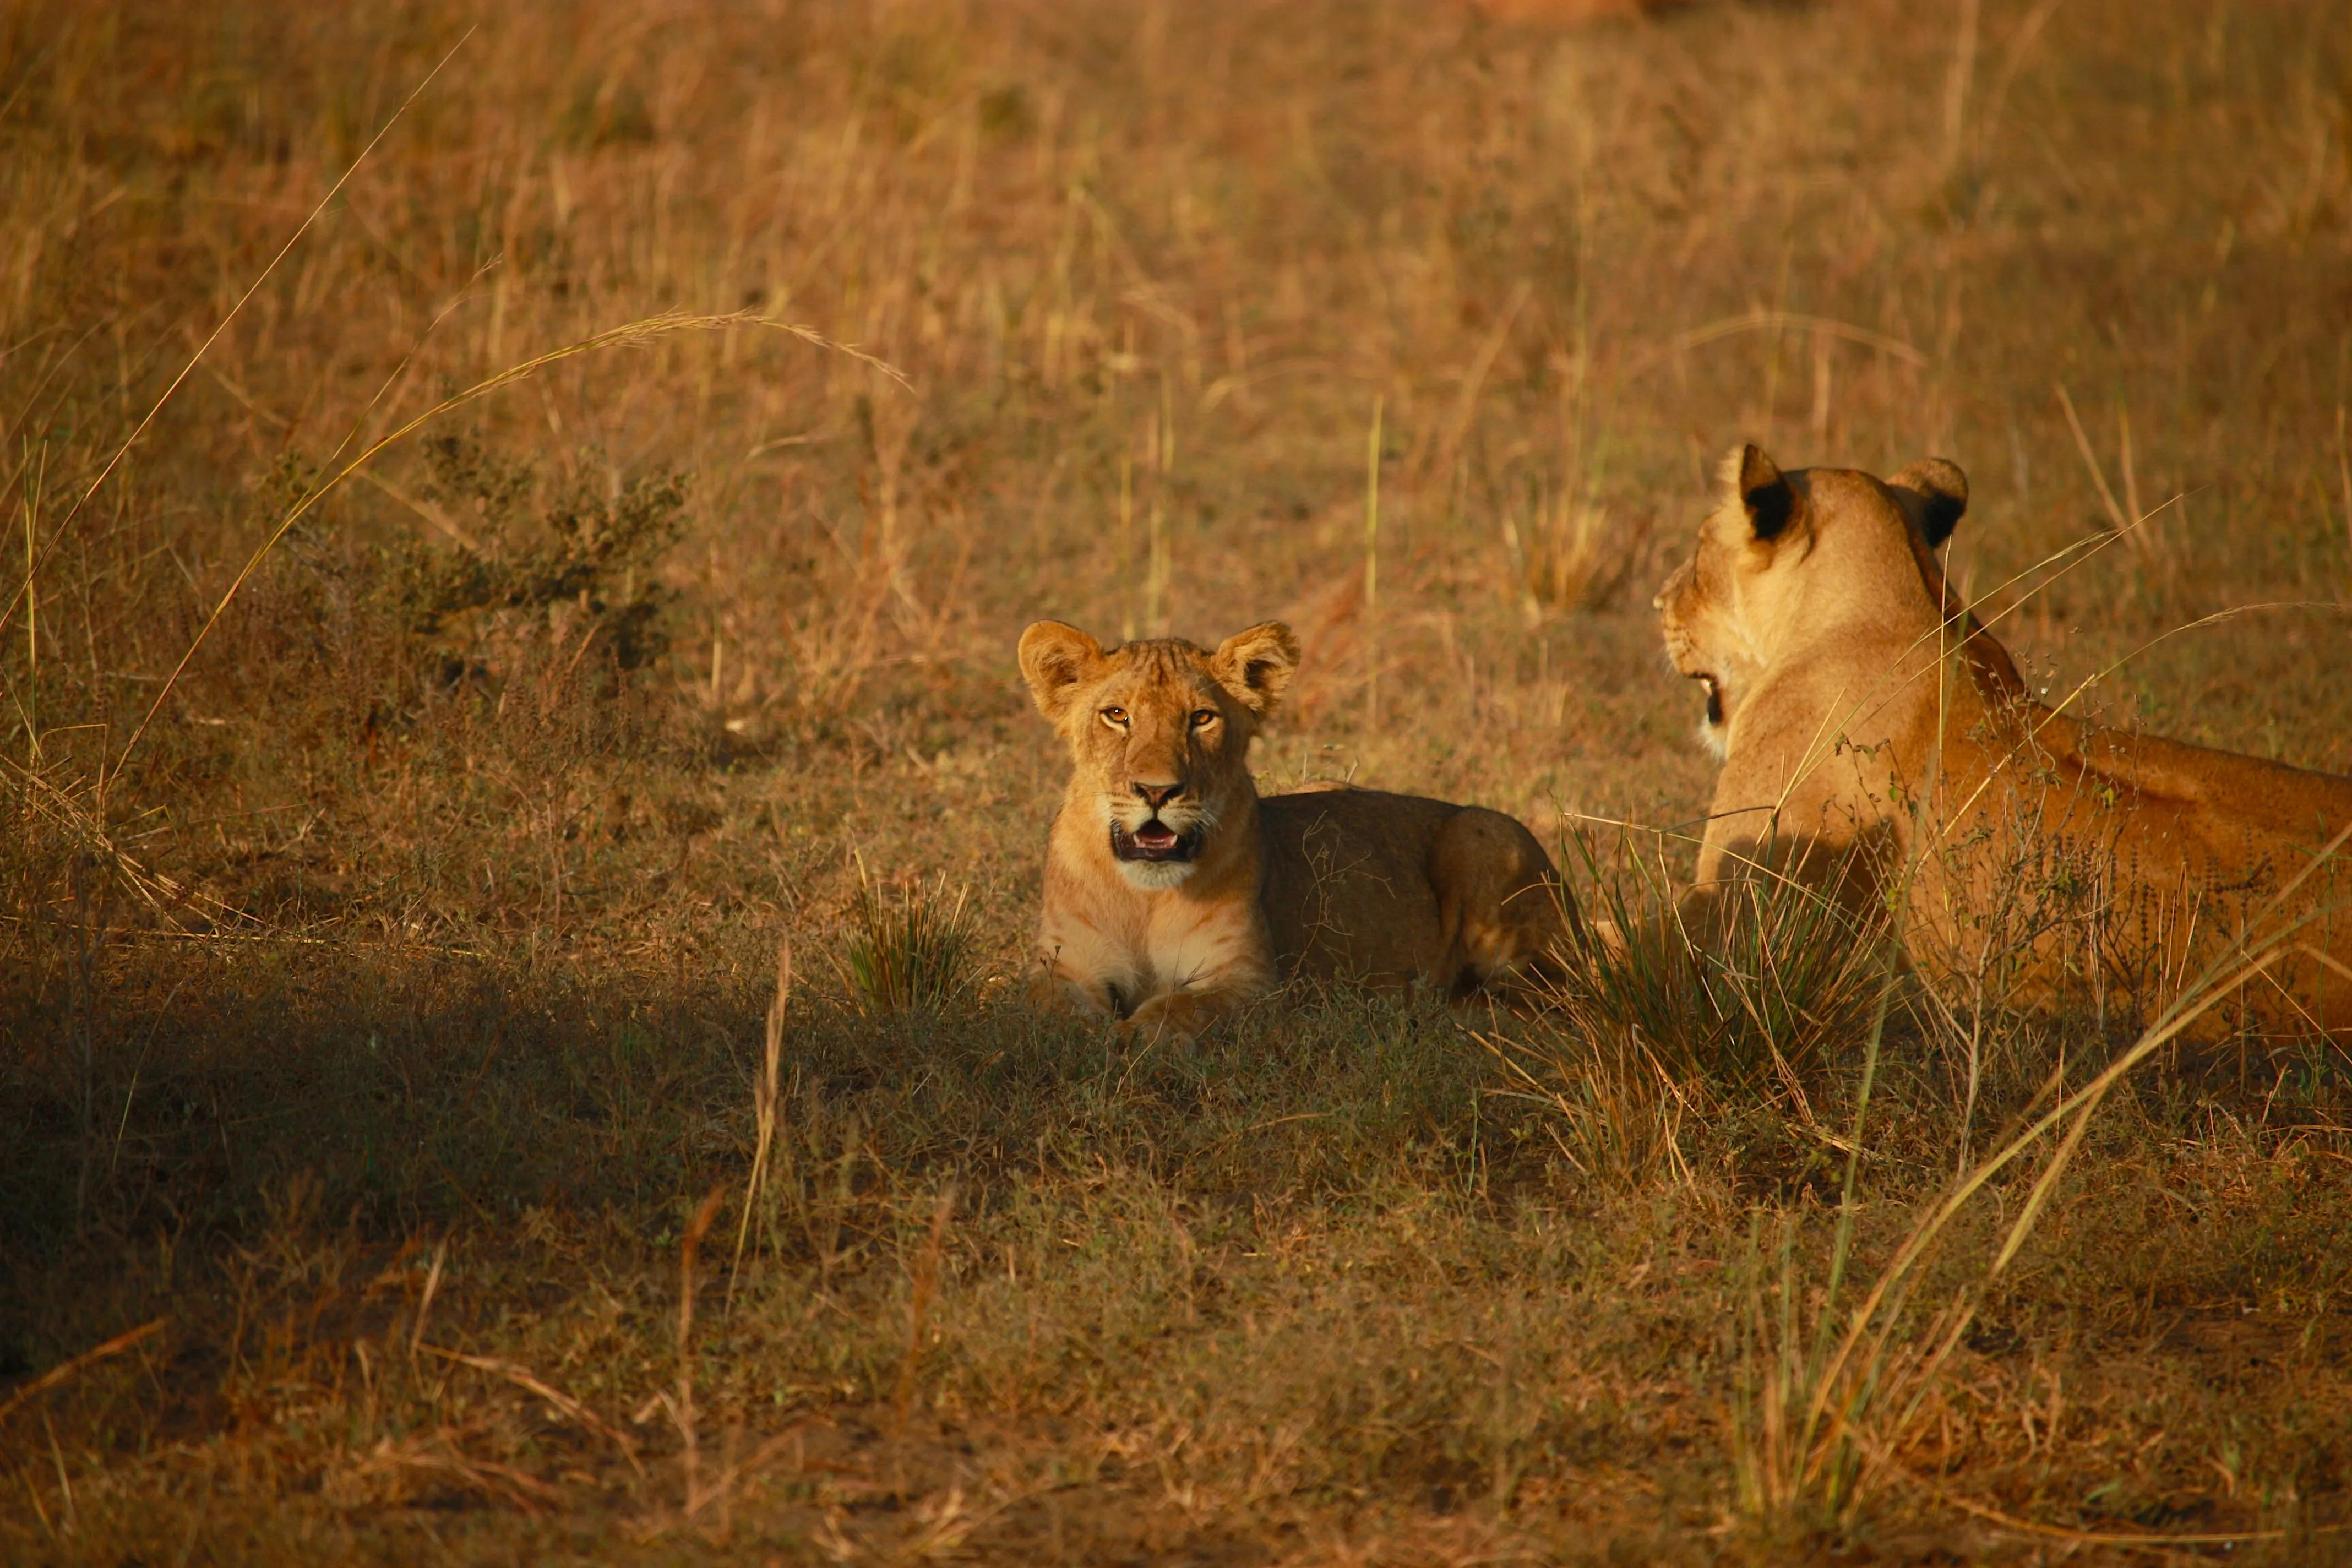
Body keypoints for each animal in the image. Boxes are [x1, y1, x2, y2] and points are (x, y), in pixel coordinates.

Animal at [1017, 619, 1567, 1040]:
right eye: (1117, 715)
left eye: (1201, 718)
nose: (1157, 791)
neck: (1143, 900)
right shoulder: (1065, 966)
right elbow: (1050, 1010)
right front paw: (1086, 1038)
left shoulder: (1253, 982)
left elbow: (1183, 1006)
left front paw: (1133, 1035)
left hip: (1482, 831)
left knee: (1544, 1003)